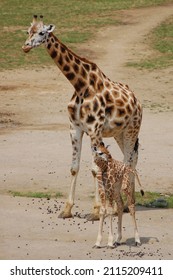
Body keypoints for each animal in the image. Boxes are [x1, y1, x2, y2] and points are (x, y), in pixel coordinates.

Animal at [22, 15, 143, 221]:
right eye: (28, 31)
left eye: (42, 32)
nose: (26, 46)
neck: (80, 85)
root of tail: (137, 101)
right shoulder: (75, 128)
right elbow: (74, 167)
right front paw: (66, 210)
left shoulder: (94, 130)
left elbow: (95, 169)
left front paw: (95, 212)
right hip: (119, 133)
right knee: (131, 159)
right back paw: (125, 204)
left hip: (132, 130)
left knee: (129, 161)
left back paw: (123, 204)